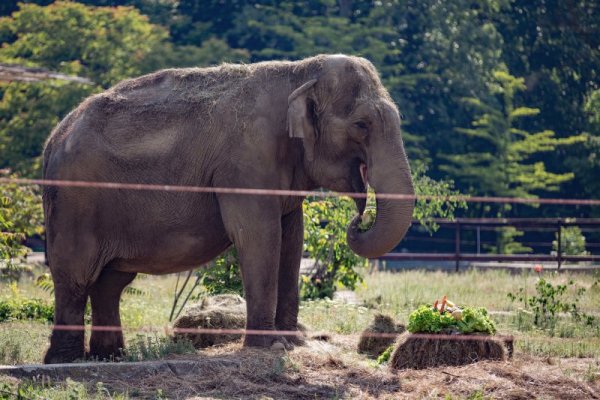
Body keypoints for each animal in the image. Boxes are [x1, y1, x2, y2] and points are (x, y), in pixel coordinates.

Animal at [42, 54, 414, 364]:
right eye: (362, 125)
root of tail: (54, 138)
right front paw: (268, 346)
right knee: (76, 275)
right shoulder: (246, 162)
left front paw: (292, 342)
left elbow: (292, 238)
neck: (300, 72)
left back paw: (109, 357)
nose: (359, 218)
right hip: (76, 201)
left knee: (110, 282)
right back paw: (66, 361)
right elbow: (260, 236)